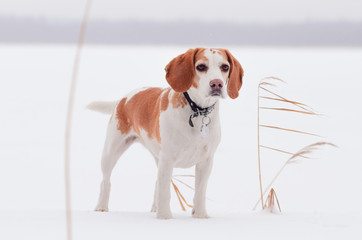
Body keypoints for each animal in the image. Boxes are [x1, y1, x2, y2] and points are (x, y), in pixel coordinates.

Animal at [88, 47, 243, 218]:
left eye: (225, 67)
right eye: (201, 67)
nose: (217, 83)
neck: (197, 111)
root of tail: (123, 99)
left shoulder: (206, 161)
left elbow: (199, 192)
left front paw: (200, 215)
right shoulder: (168, 159)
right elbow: (165, 192)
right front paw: (165, 217)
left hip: (157, 158)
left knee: (157, 182)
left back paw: (155, 207)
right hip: (111, 152)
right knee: (105, 181)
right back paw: (101, 206)